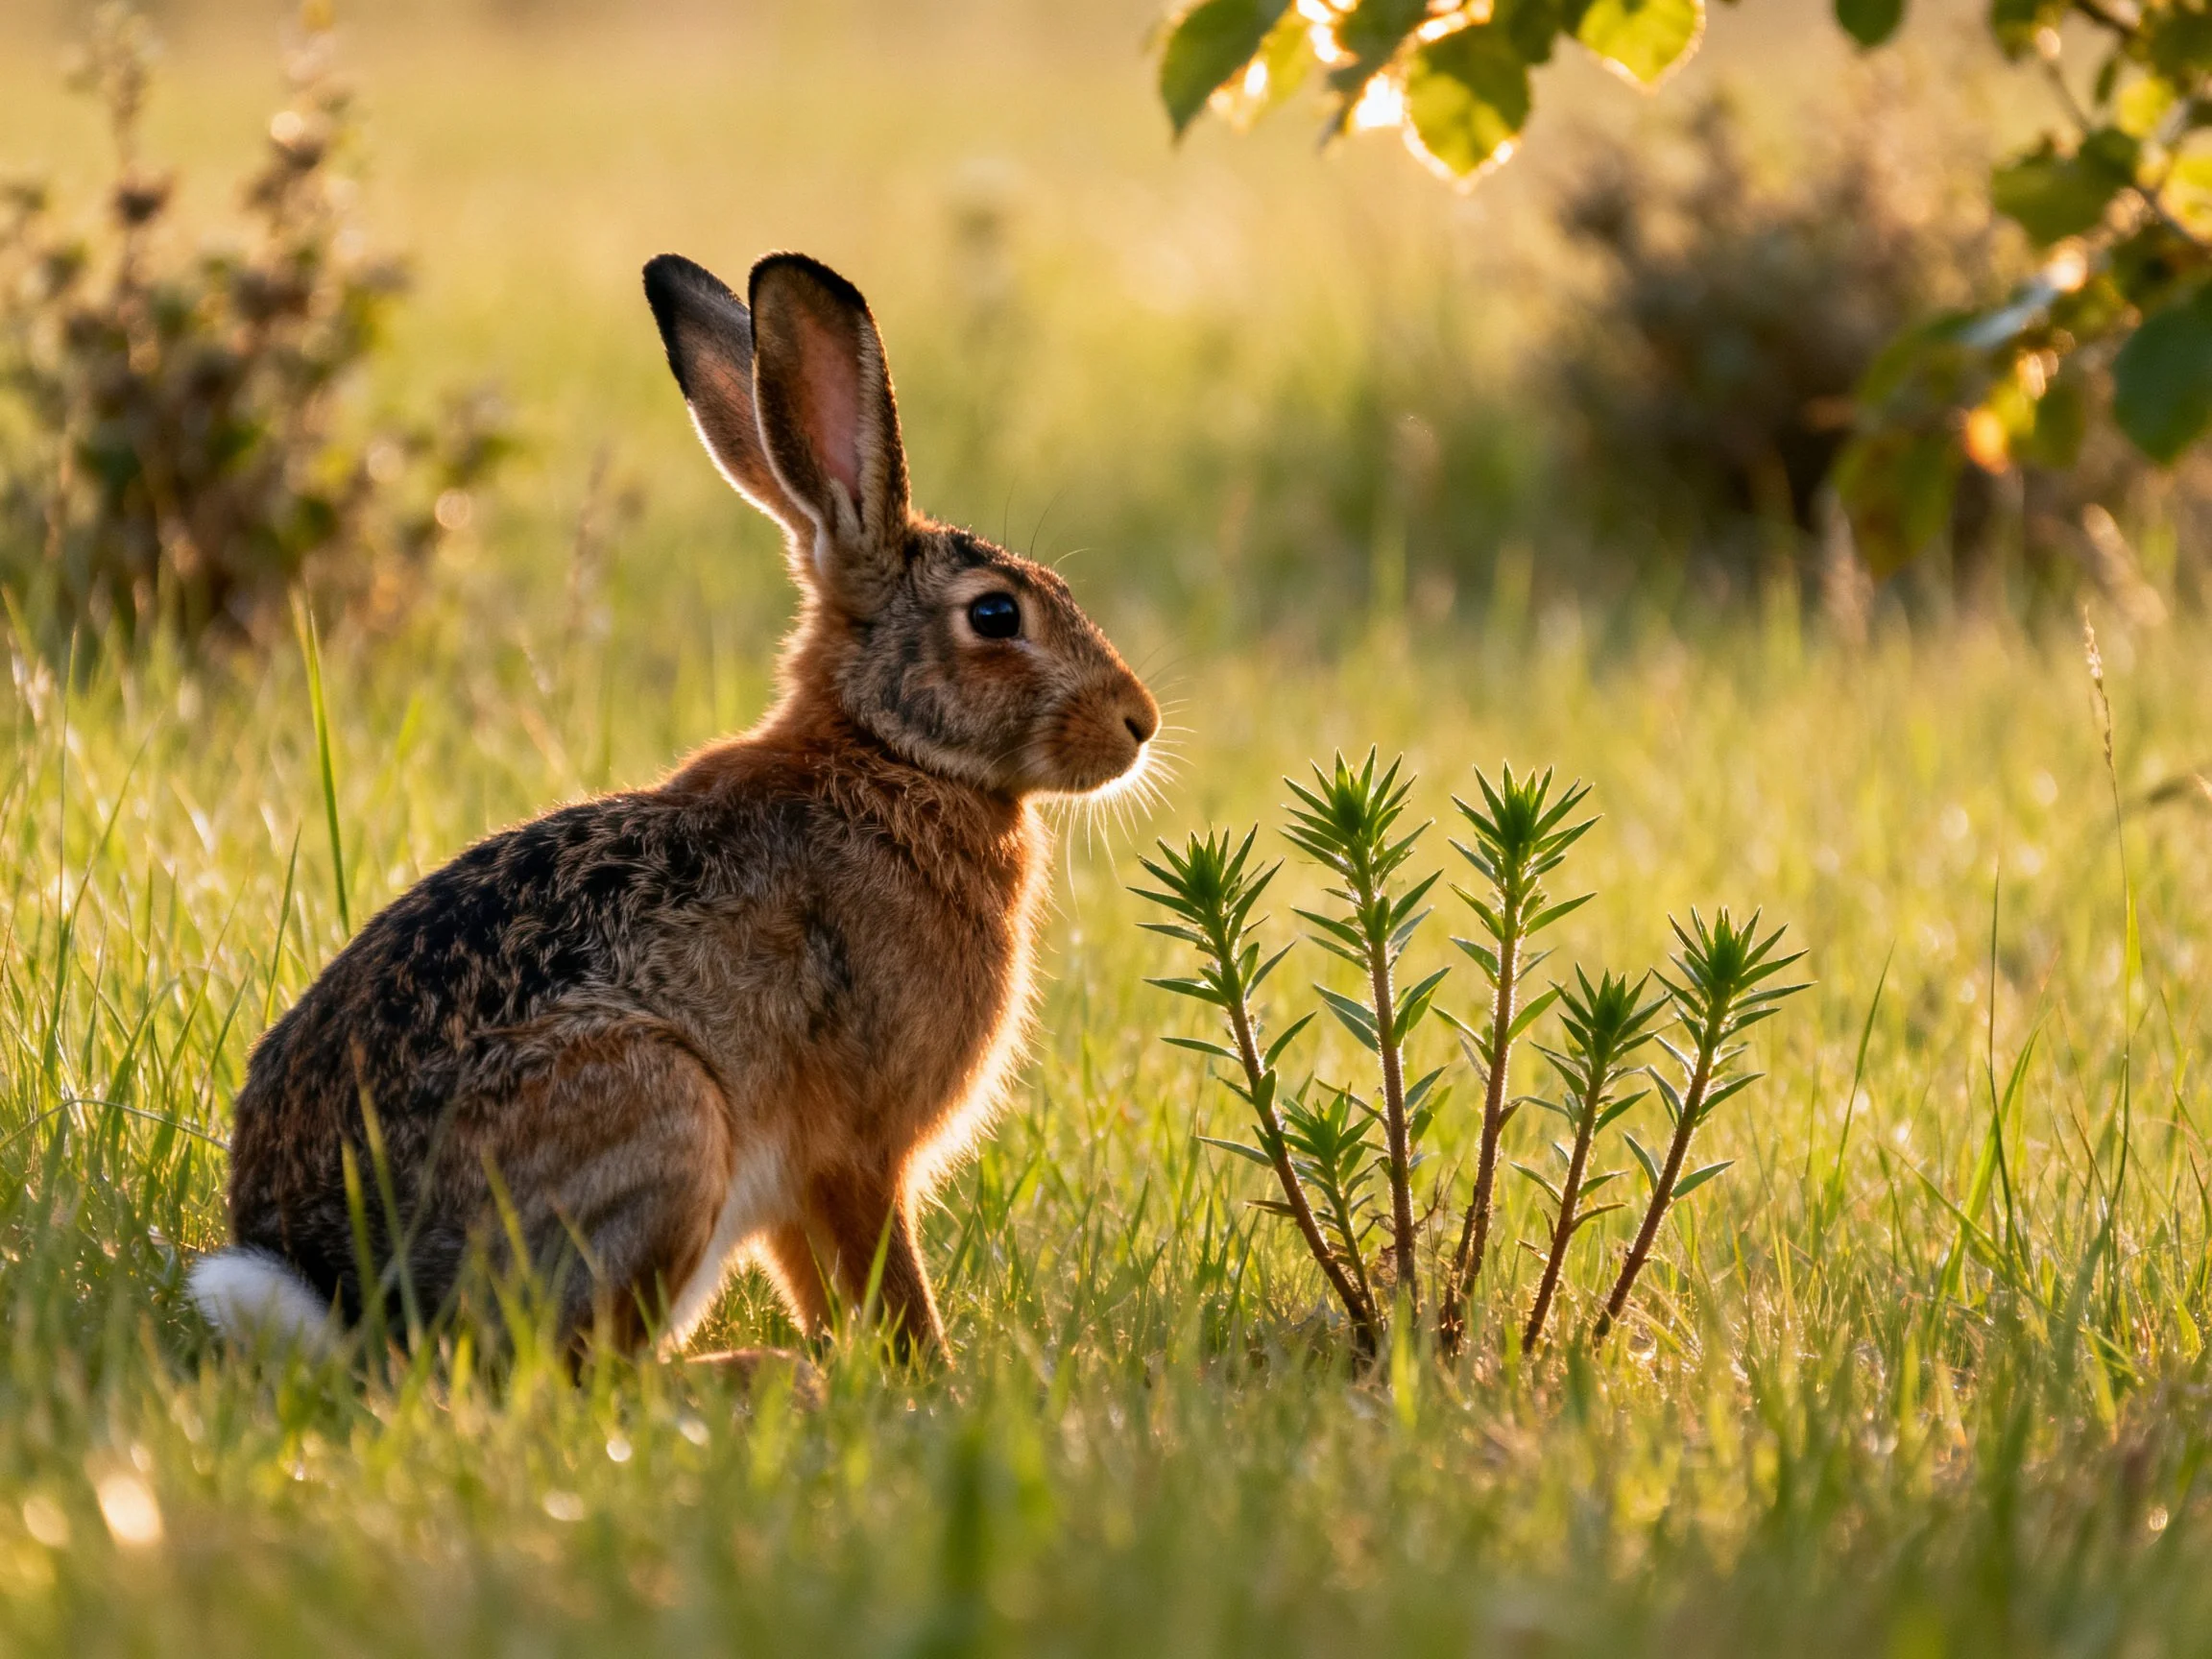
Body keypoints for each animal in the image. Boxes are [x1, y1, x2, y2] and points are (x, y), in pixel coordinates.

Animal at [188, 250, 1160, 1361]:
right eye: (996, 615)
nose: (1139, 722)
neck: (888, 755)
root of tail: (353, 1297)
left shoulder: (798, 1186)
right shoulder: (857, 1149)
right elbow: (890, 1285)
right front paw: (933, 1381)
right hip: (666, 1114)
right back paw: (760, 1372)